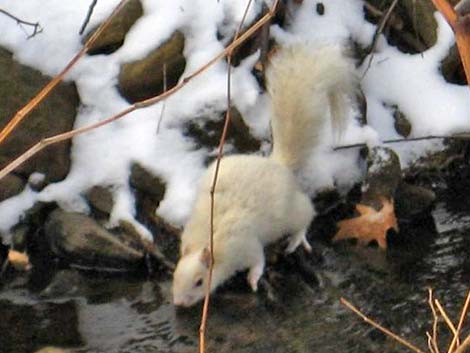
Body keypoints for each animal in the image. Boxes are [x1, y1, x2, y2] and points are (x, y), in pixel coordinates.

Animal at [173, 44, 356, 306]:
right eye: (174, 275)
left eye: (199, 282)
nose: (178, 302)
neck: (209, 241)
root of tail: (278, 165)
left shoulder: (244, 245)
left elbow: (258, 259)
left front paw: (253, 279)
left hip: (289, 213)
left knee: (306, 214)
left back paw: (296, 239)